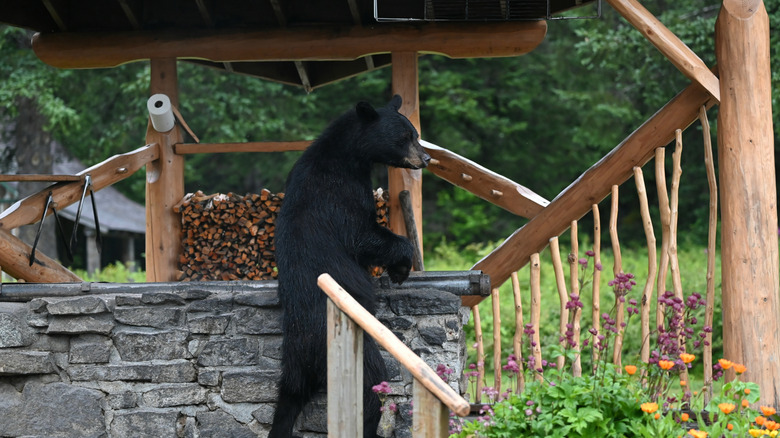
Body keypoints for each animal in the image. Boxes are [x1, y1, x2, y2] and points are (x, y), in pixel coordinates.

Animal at [268, 95, 430, 438]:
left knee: (286, 400)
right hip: (355, 351)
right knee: (370, 388)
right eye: (404, 137)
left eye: (415, 133)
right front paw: (400, 268)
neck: (350, 154)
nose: (425, 158)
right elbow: (363, 235)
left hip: (292, 367)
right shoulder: (339, 192)